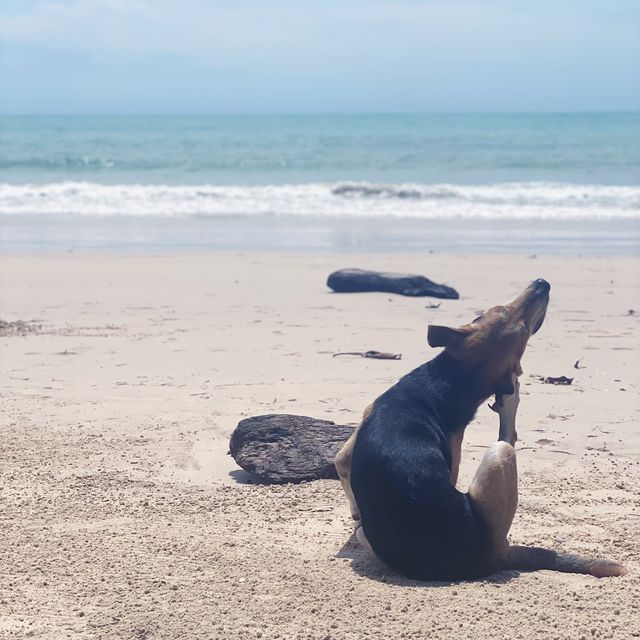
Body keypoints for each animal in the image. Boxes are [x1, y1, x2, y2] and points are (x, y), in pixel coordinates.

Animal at [338, 278, 628, 580]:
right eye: (504, 312)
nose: (542, 283)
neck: (450, 380)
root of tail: (496, 555)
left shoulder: (352, 444)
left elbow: (344, 470)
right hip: (500, 457)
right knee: (507, 438)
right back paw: (511, 401)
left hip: (368, 537)